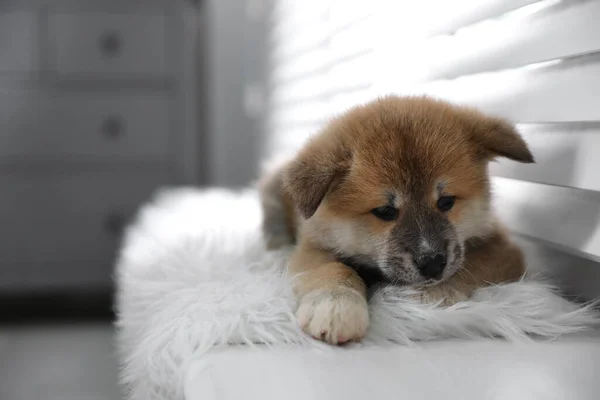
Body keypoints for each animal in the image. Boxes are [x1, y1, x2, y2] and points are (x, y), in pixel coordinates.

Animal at [258, 95, 536, 346]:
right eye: (385, 211)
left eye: (446, 202)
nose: (433, 263)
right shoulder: (313, 246)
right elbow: (332, 268)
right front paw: (335, 303)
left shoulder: (501, 248)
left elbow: (469, 266)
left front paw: (428, 296)